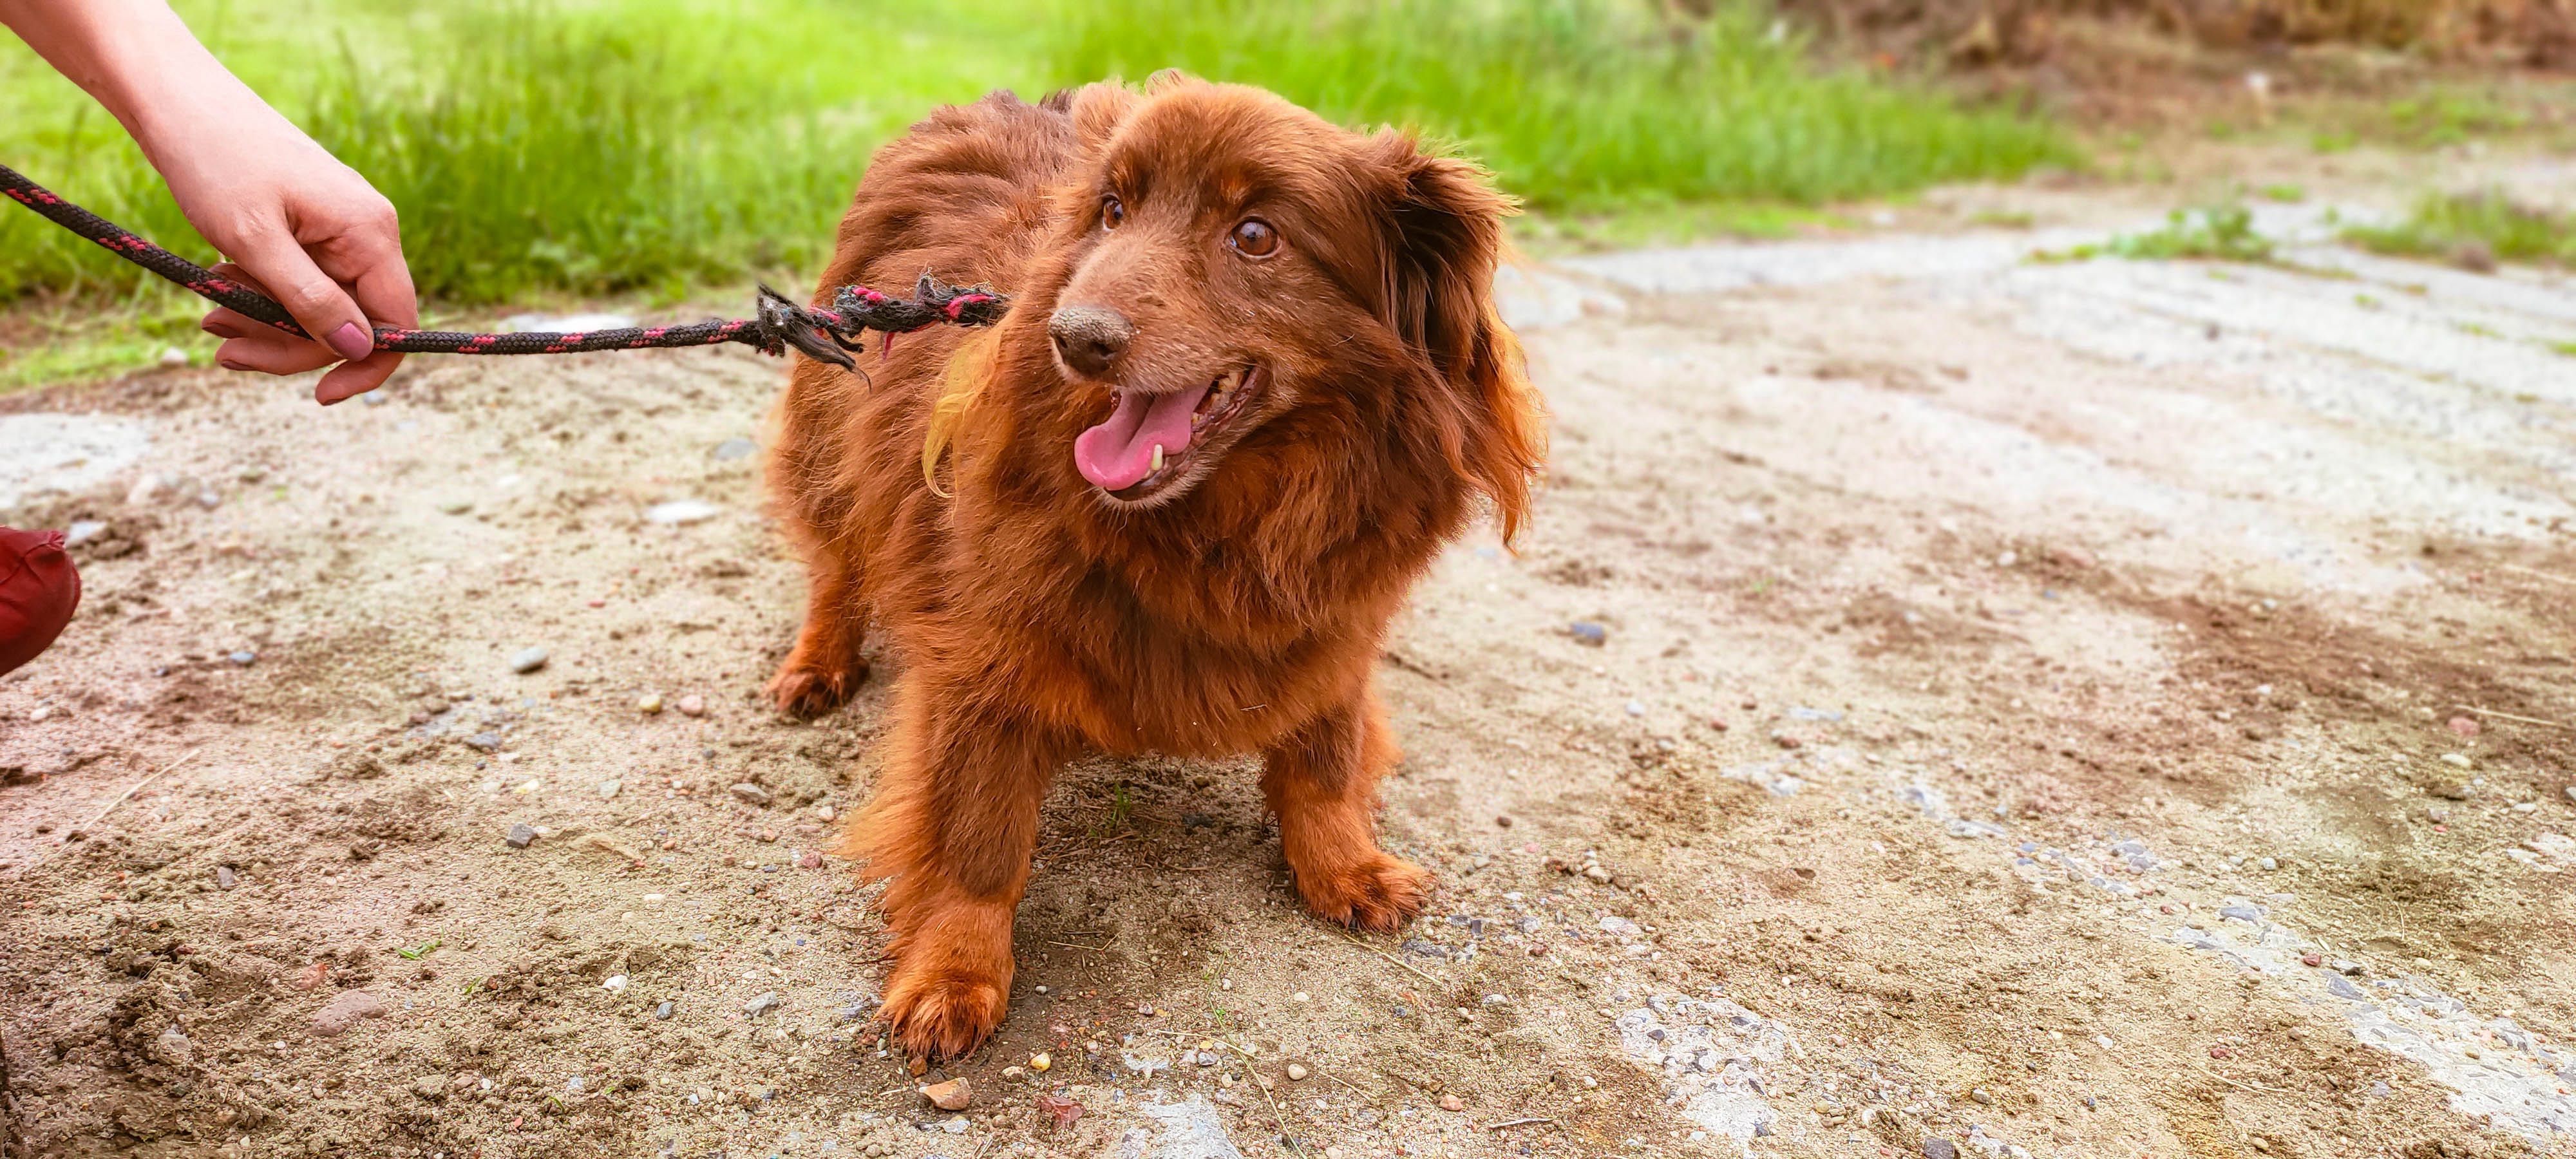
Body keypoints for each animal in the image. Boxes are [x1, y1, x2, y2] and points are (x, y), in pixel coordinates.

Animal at [752, 75, 1535, 1061]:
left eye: (1256, 235)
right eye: (1113, 213)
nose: (1072, 336)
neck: (1213, 532)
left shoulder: (1334, 626)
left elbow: (1326, 758)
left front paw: (1346, 866)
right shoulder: (980, 658)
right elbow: (978, 838)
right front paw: (953, 973)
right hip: (832, 431)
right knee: (837, 563)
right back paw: (817, 664)